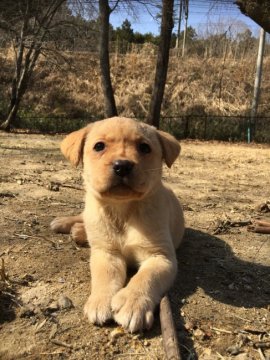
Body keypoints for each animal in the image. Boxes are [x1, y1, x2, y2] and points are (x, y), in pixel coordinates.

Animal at [51, 117, 185, 332]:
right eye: (99, 146)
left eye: (144, 147)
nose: (122, 165)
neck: (123, 211)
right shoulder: (107, 253)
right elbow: (105, 276)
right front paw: (100, 301)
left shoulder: (160, 257)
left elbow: (145, 278)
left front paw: (132, 304)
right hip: (91, 211)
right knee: (83, 216)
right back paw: (65, 223)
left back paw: (78, 232)